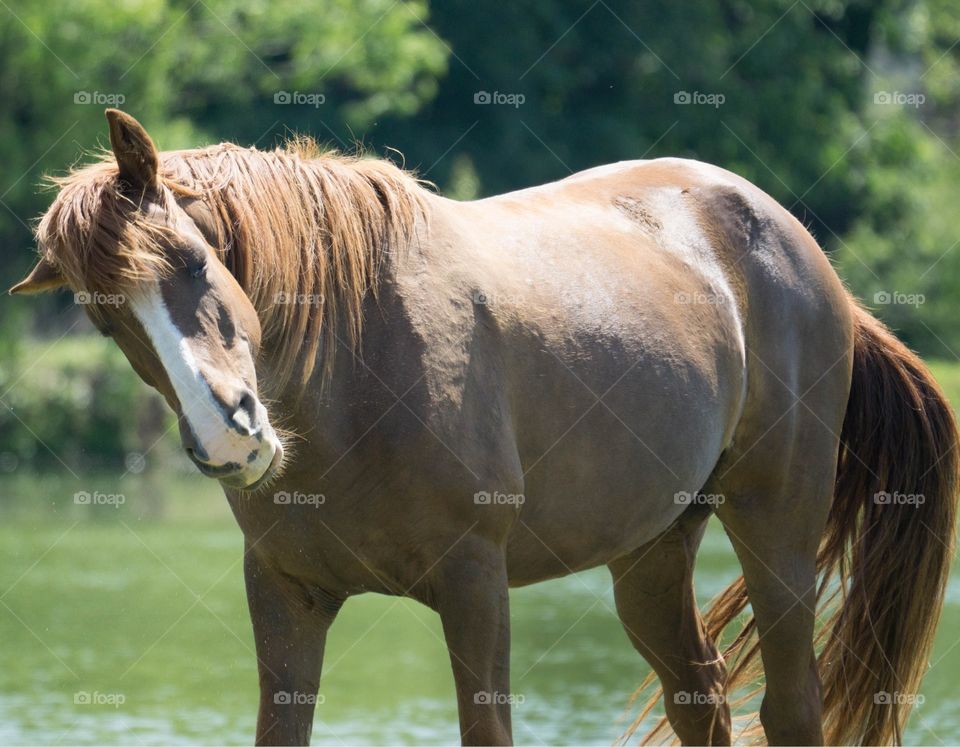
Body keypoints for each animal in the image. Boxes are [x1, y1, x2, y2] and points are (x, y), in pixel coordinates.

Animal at [11, 108, 958, 746]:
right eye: (105, 320)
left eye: (190, 260)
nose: (228, 437)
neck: (355, 362)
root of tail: (805, 255)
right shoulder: (285, 593)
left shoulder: (474, 582)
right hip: (652, 553)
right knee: (702, 693)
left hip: (776, 529)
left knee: (789, 704)